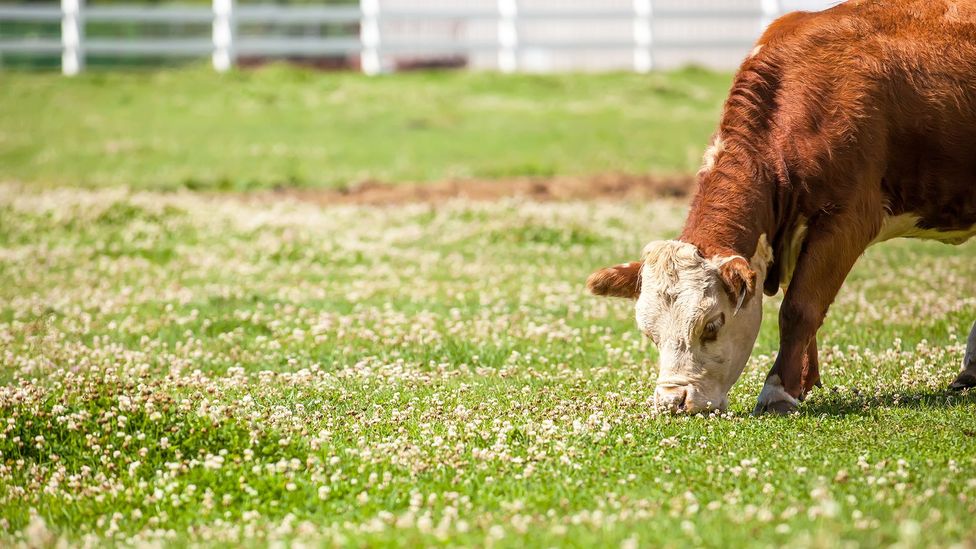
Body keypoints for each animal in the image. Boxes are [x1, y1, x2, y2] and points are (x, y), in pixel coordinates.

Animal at [588, 0, 976, 414]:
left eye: (712, 324)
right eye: (650, 333)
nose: (673, 401)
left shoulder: (848, 219)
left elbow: (799, 307)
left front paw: (778, 390)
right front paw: (803, 379)